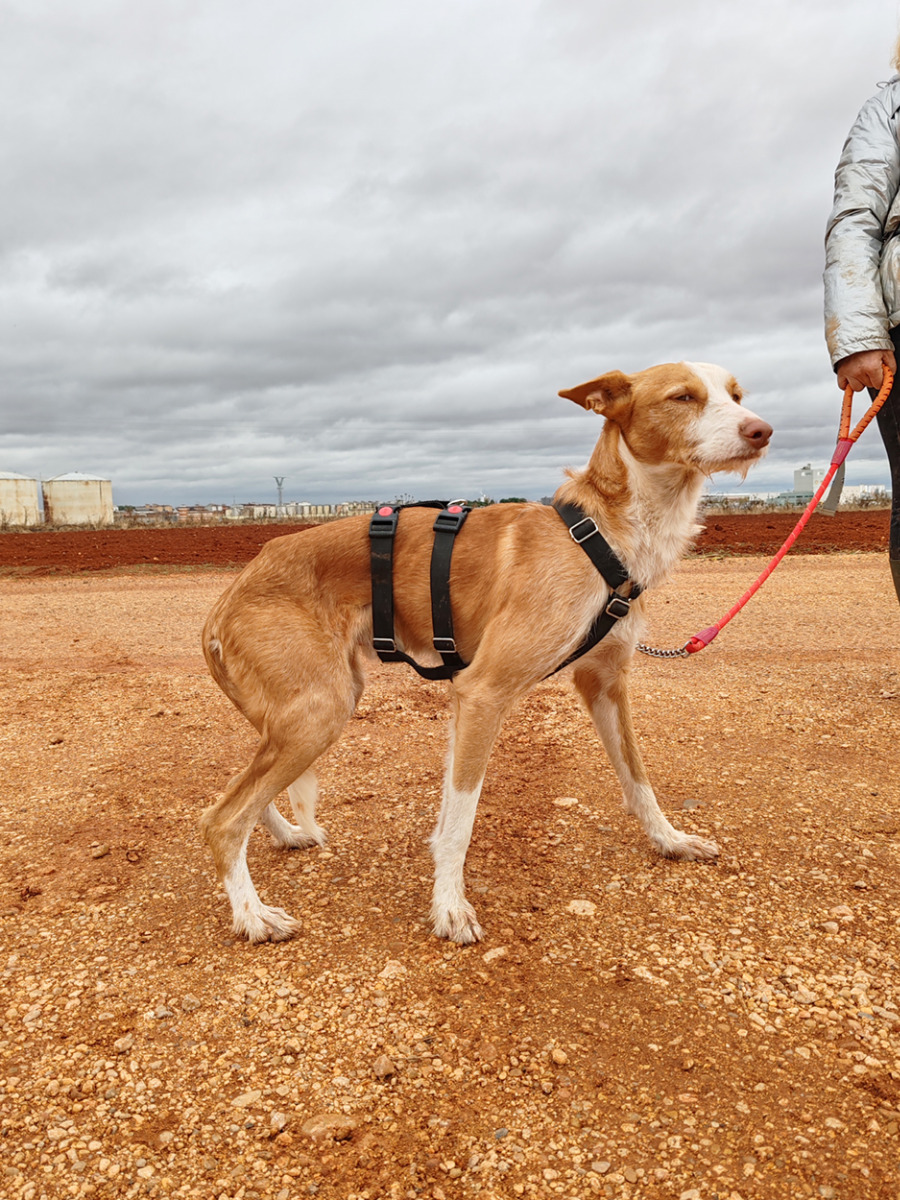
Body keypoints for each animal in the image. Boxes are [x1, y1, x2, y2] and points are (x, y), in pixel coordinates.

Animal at [201, 362, 771, 944]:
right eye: (682, 397)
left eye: (736, 395)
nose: (762, 431)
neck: (601, 536)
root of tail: (230, 594)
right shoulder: (483, 693)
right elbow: (461, 821)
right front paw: (450, 908)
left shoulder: (604, 684)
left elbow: (638, 779)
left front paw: (669, 840)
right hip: (319, 712)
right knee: (221, 819)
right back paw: (252, 915)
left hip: (301, 713)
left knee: (234, 799)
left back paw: (284, 837)